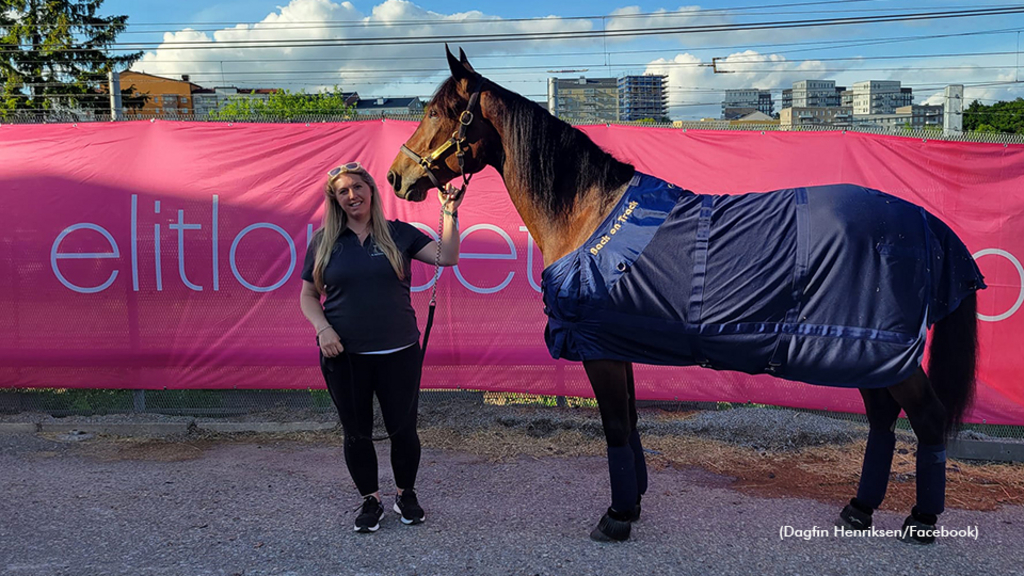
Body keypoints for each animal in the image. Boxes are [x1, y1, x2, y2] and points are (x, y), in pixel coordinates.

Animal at [385, 45, 983, 541]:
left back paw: (921, 520)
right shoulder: (615, 344)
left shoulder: (599, 350)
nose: (395, 178)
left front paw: (616, 518)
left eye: (438, 112)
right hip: (863, 352)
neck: (589, 215)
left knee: (927, 420)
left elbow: (615, 426)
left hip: (884, 353)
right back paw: (858, 509)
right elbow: (628, 422)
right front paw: (633, 502)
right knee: (883, 419)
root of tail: (928, 223)